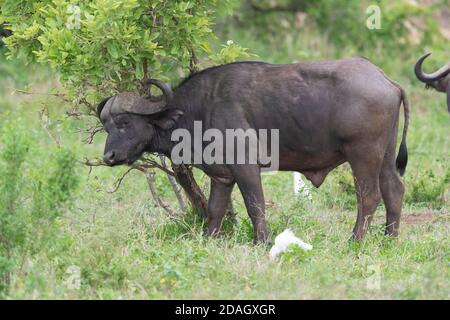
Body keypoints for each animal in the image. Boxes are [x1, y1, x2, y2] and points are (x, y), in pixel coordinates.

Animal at [98, 57, 412, 242]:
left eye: (125, 122)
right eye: (106, 126)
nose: (109, 157)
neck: (201, 109)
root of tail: (387, 80)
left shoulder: (246, 167)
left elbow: (254, 206)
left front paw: (261, 241)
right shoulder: (222, 175)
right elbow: (215, 209)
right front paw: (210, 240)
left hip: (363, 155)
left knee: (369, 196)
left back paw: (355, 240)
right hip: (384, 156)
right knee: (393, 189)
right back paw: (390, 238)